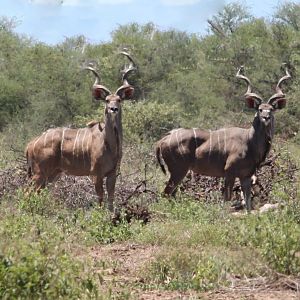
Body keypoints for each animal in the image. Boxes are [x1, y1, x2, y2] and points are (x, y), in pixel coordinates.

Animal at [26, 51, 137, 211]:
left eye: (119, 100)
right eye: (107, 100)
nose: (113, 109)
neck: (109, 144)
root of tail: (30, 144)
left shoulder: (112, 174)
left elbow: (110, 198)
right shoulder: (96, 174)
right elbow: (100, 199)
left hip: (53, 174)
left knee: (38, 193)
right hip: (39, 172)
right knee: (27, 192)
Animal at [157, 66, 290, 211]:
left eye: (271, 109)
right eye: (260, 109)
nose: (266, 117)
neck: (249, 141)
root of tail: (163, 140)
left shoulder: (246, 176)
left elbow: (248, 203)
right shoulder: (229, 172)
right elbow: (227, 199)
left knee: (171, 194)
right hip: (178, 170)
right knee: (166, 193)